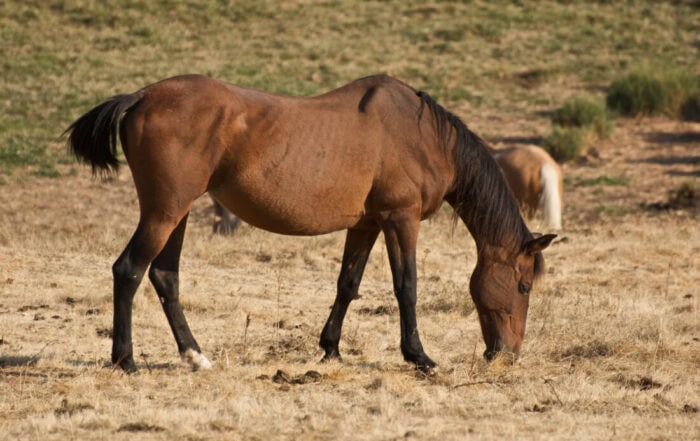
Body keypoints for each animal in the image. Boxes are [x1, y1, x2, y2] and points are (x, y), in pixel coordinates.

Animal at [65, 74, 556, 373]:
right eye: (523, 286)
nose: (506, 354)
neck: (423, 136)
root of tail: (141, 98)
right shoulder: (401, 220)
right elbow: (406, 286)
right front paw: (419, 356)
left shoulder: (366, 224)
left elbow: (347, 284)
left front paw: (331, 348)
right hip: (164, 212)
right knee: (129, 270)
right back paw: (125, 360)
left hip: (177, 214)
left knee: (165, 275)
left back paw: (196, 356)